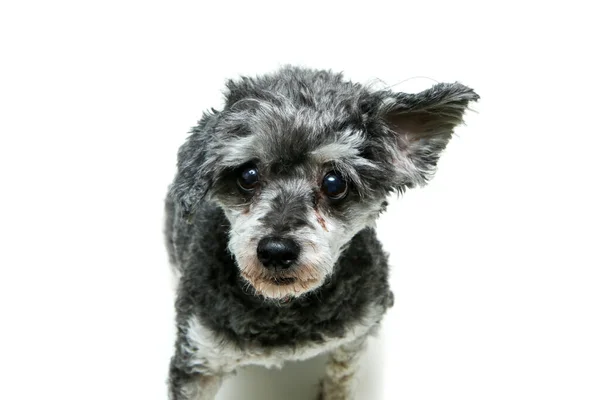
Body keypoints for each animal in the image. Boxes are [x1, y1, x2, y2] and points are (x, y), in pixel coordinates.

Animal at [164, 65, 478, 396]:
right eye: (247, 175)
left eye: (334, 183)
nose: (276, 251)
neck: (284, 308)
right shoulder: (199, 356)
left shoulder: (358, 330)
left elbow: (341, 375)